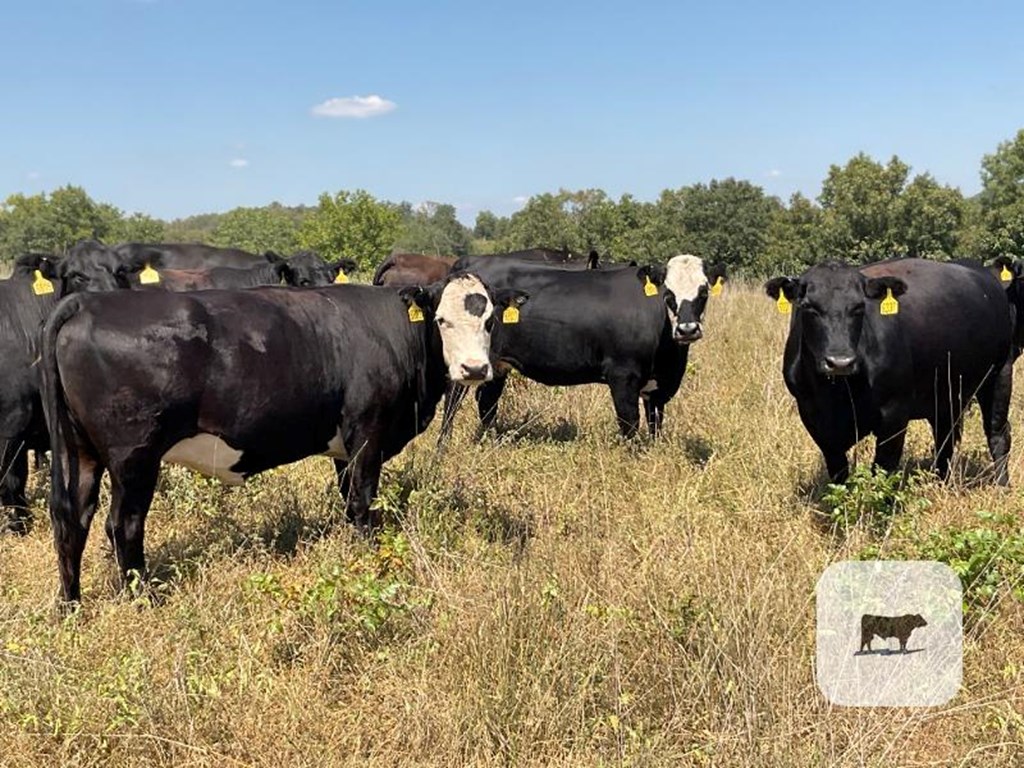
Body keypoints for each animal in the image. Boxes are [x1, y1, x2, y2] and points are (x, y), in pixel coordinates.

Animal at [40, 274, 528, 606]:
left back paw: (71, 604)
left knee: (72, 519)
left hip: (81, 451)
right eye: (441, 320)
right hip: (134, 457)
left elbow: (347, 500)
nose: (474, 369)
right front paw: (368, 560)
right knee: (122, 525)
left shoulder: (344, 446)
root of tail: (87, 302)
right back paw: (145, 599)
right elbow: (363, 502)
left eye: (489, 320)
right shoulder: (367, 433)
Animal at [444, 257, 716, 442]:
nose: (687, 329)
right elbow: (629, 422)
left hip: (496, 366)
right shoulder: (623, 376)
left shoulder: (658, 389)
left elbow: (655, 425)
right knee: (452, 403)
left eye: (704, 292)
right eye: (668, 293)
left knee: (487, 403)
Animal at [765, 262, 1011, 483]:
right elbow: (838, 471)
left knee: (997, 434)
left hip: (999, 374)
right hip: (946, 393)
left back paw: (1001, 485)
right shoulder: (813, 416)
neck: (837, 393)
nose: (840, 362)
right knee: (945, 438)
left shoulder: (894, 413)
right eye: (809, 307)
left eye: (859, 307)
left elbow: (883, 469)